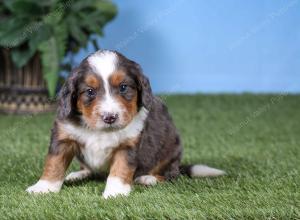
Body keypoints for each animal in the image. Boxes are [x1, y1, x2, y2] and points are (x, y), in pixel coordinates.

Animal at [26, 50, 225, 199]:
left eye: (123, 87)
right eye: (89, 91)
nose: (110, 117)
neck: (100, 131)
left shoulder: (128, 145)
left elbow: (120, 169)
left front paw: (115, 192)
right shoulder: (63, 137)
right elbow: (54, 164)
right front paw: (43, 187)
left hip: (170, 150)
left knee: (171, 175)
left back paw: (148, 178)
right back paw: (78, 174)